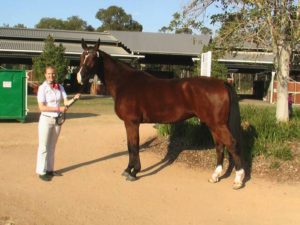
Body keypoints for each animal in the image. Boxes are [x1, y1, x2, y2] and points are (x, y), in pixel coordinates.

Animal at [76, 38, 245, 188]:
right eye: (82, 56)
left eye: (93, 58)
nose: (80, 77)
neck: (124, 83)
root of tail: (222, 82)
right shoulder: (129, 123)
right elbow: (131, 146)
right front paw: (128, 170)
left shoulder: (132, 123)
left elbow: (134, 146)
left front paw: (133, 172)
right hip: (213, 124)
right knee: (219, 146)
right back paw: (215, 176)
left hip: (218, 124)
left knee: (232, 144)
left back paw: (238, 180)